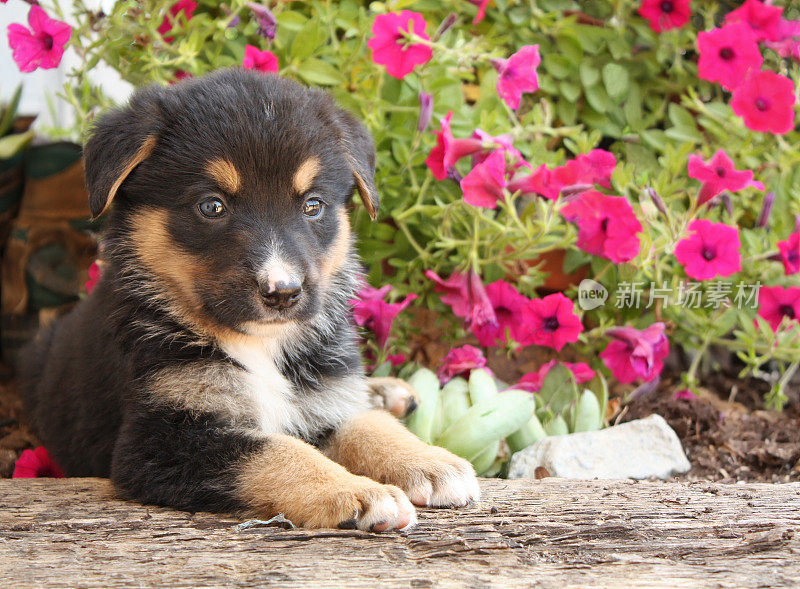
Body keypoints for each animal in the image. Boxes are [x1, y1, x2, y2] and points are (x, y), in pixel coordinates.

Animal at [18, 70, 478, 532]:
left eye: (313, 205)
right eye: (211, 206)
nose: (283, 292)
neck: (260, 345)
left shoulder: (323, 396)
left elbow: (365, 424)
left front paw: (427, 461)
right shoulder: (158, 441)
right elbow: (277, 451)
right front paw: (358, 493)